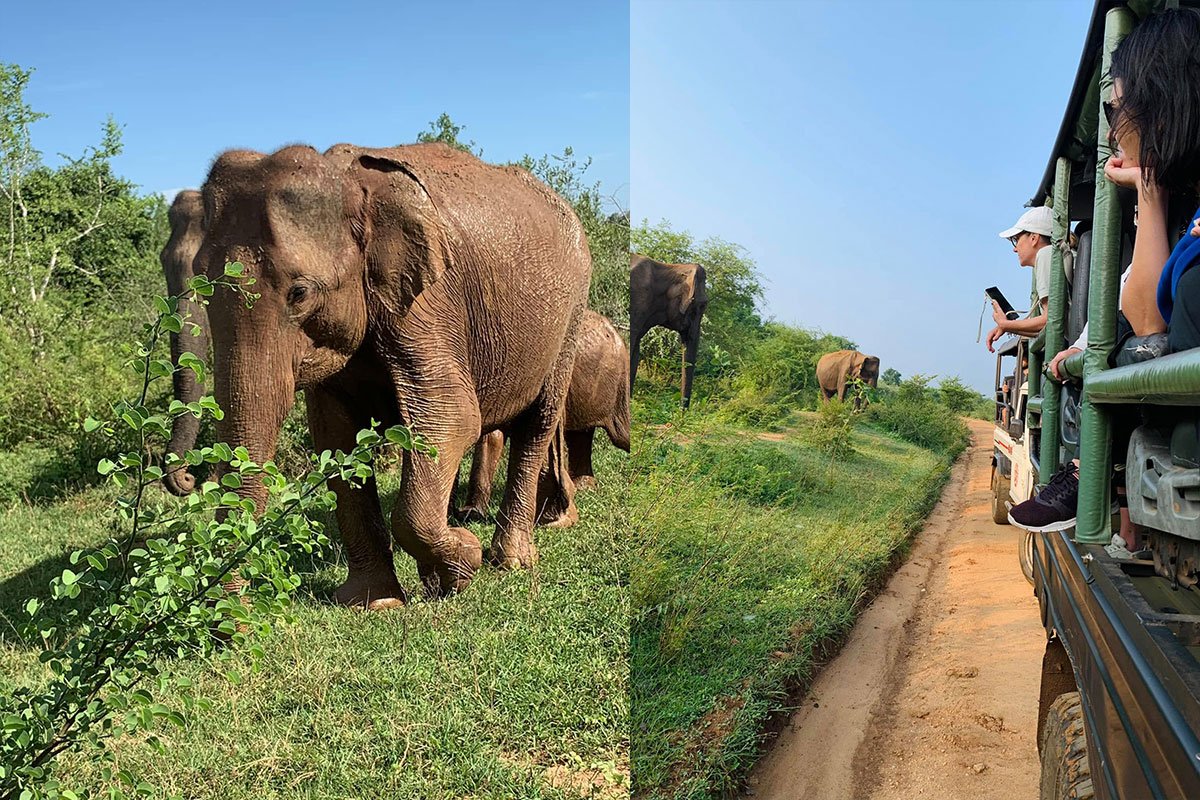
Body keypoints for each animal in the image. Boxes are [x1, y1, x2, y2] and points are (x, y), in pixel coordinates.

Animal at [195, 142, 592, 608]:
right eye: (199, 285)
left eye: (300, 293)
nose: (233, 616)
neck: (347, 180)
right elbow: (336, 439)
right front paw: (377, 602)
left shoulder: (430, 302)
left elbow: (453, 417)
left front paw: (462, 562)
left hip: (570, 314)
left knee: (537, 422)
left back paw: (508, 560)